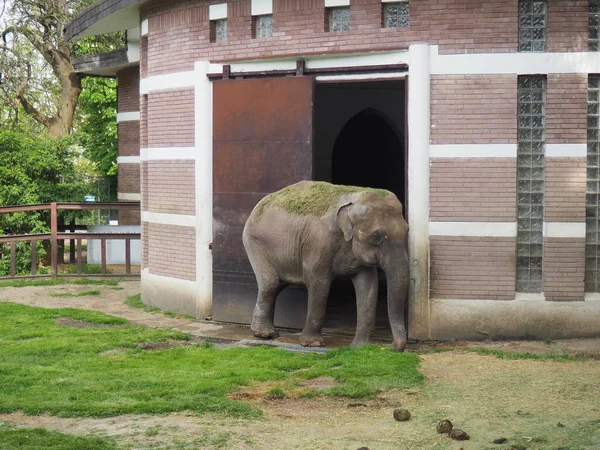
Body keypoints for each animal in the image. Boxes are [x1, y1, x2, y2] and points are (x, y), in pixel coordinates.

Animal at [243, 179, 408, 352]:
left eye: (407, 231)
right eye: (376, 238)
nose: (391, 346)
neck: (355, 196)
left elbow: (368, 286)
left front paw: (360, 348)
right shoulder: (318, 242)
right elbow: (318, 283)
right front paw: (313, 344)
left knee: (277, 285)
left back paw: (263, 332)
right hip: (255, 243)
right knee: (271, 283)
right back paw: (264, 334)